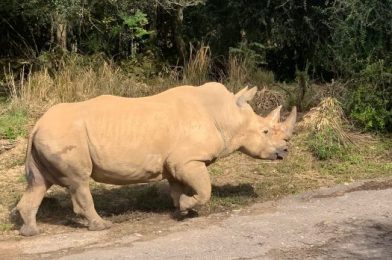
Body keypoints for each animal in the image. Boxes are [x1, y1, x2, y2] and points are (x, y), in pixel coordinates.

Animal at [16, 83, 296, 236]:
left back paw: (30, 231)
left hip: (50, 136)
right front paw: (188, 206)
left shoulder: (175, 163)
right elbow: (205, 189)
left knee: (39, 183)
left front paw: (184, 210)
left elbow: (177, 187)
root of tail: (37, 125)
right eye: (266, 131)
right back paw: (102, 226)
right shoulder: (188, 160)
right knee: (79, 181)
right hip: (64, 135)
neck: (226, 115)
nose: (284, 151)